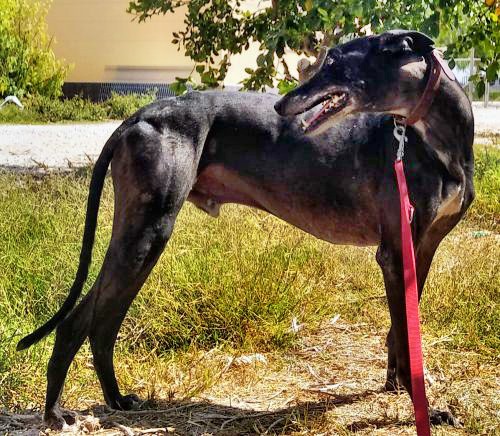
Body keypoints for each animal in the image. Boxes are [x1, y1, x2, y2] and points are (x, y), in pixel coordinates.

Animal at [18, 30, 473, 428]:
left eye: (334, 63)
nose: (282, 106)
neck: (427, 138)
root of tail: (140, 114)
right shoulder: (395, 251)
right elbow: (405, 333)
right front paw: (424, 407)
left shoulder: (421, 248)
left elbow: (402, 329)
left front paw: (397, 386)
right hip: (146, 233)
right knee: (78, 322)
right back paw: (55, 412)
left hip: (141, 238)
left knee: (102, 324)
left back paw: (115, 398)